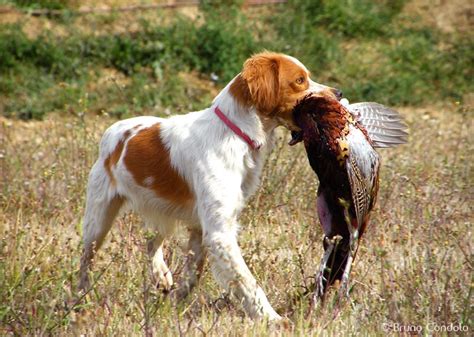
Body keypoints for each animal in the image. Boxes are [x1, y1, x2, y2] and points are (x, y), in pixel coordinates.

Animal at [80, 51, 340, 318]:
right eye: (300, 80)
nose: (338, 93)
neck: (235, 134)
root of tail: (112, 131)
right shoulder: (219, 233)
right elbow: (247, 281)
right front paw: (272, 318)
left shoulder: (201, 227)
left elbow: (192, 275)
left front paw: (174, 307)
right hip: (98, 221)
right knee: (85, 262)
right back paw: (80, 301)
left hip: (161, 212)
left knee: (151, 243)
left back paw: (161, 276)